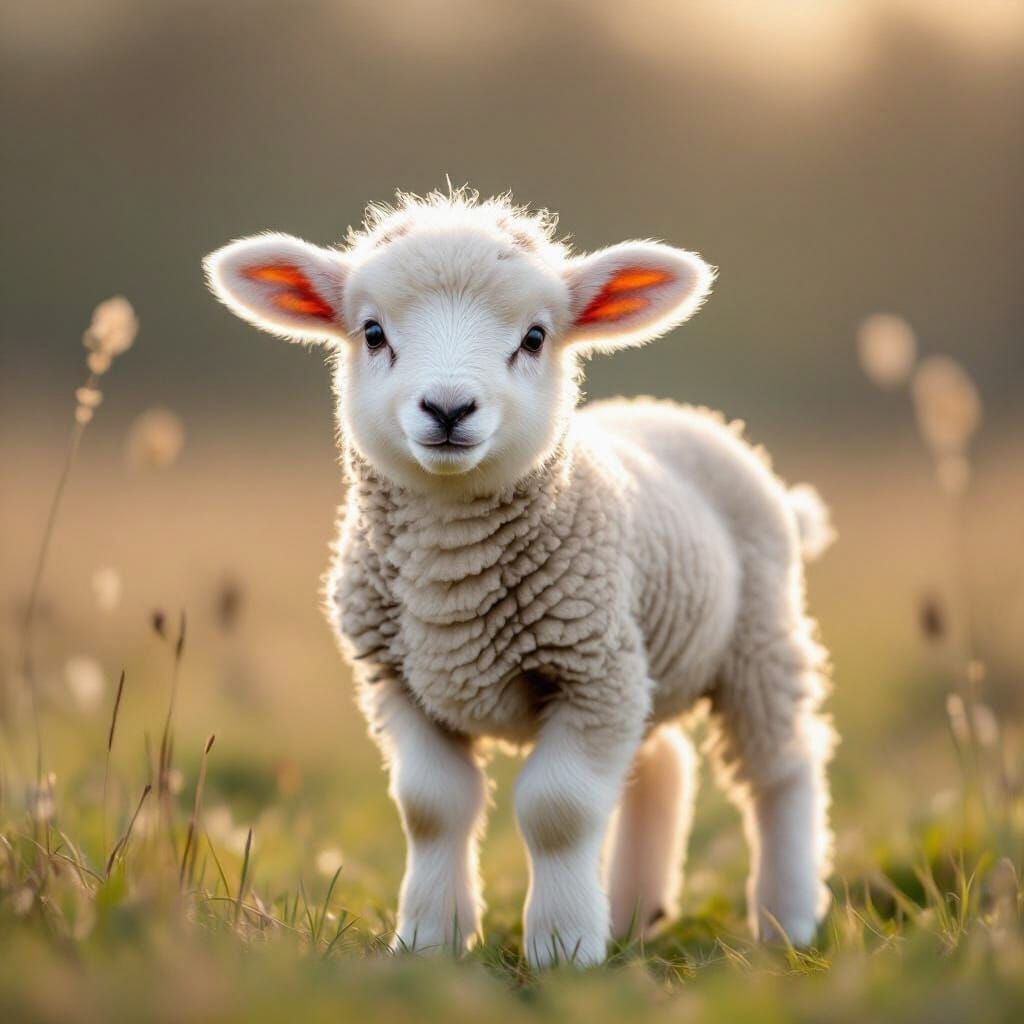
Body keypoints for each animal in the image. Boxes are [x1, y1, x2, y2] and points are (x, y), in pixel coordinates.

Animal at [204, 189, 835, 968]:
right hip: (647, 660)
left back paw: (787, 921)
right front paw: (430, 939)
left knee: (782, 770)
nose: (448, 408)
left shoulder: (589, 673)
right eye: (373, 332)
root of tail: (676, 412)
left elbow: (558, 809)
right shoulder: (398, 681)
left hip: (757, 642)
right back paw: (635, 915)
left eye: (534, 338)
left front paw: (563, 949)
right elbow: (431, 806)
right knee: (662, 763)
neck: (452, 586)